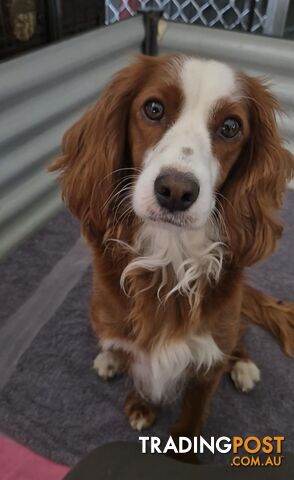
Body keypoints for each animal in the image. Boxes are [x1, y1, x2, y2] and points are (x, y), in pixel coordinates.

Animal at [50, 55, 294, 454]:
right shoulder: (134, 339)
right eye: (153, 108)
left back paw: (243, 365)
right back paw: (109, 356)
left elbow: (194, 412)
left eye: (230, 127)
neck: (171, 257)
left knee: (239, 337)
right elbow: (139, 369)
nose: (176, 191)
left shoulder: (208, 361)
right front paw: (141, 405)